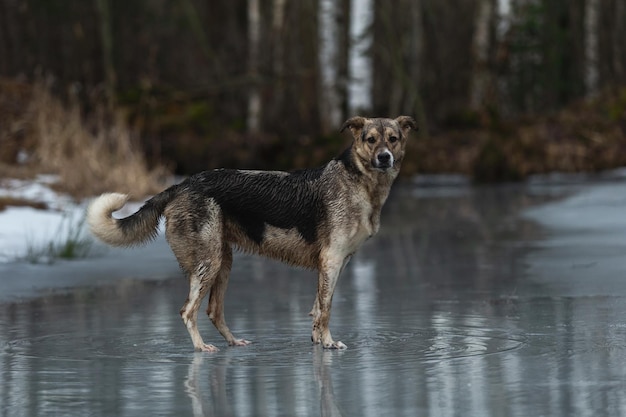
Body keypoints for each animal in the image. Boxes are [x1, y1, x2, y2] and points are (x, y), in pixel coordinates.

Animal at [86, 114, 414, 352]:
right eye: (370, 140)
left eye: (393, 139)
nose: (384, 157)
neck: (359, 182)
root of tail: (181, 185)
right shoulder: (332, 261)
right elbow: (325, 310)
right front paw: (330, 343)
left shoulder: (336, 264)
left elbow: (317, 309)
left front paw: (318, 342)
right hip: (208, 264)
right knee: (188, 311)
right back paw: (202, 348)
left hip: (223, 262)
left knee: (213, 311)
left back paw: (234, 342)